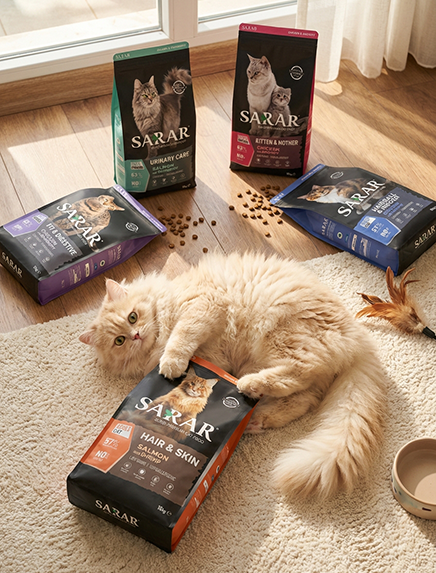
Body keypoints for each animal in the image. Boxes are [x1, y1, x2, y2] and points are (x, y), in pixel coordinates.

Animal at [79, 251, 386, 500]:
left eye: (132, 317)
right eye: (119, 341)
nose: (136, 335)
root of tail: (358, 337)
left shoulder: (203, 306)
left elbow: (181, 337)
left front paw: (171, 362)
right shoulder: (213, 359)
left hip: (282, 337)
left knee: (298, 374)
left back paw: (248, 387)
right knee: (302, 397)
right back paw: (255, 418)